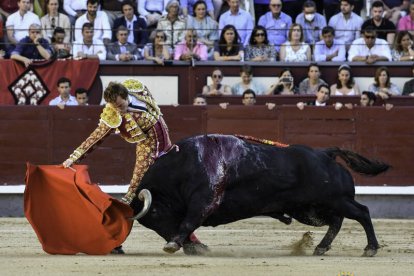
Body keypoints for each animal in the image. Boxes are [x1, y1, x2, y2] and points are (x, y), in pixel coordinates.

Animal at [131, 135, 390, 258]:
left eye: (156, 213)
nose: (185, 246)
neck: (184, 165)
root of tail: (325, 153)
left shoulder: (203, 201)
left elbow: (188, 221)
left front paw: (174, 244)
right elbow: (188, 223)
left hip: (335, 200)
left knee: (362, 213)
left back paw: (370, 248)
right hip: (309, 210)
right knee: (336, 221)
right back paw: (321, 247)